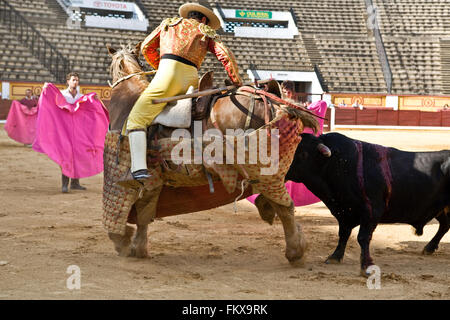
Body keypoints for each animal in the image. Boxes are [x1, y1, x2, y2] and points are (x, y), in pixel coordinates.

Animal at [104, 45, 318, 264]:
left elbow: (125, 210)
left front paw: (122, 241)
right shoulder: (155, 175)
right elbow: (145, 209)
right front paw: (138, 247)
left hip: (263, 170)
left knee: (284, 206)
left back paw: (294, 250)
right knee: (281, 202)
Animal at [286, 132, 448, 276]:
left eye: (303, 154)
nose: (284, 173)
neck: (338, 163)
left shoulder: (372, 211)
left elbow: (363, 237)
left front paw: (366, 266)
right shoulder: (344, 213)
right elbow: (343, 234)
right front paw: (335, 257)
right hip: (441, 209)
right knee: (445, 225)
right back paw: (429, 248)